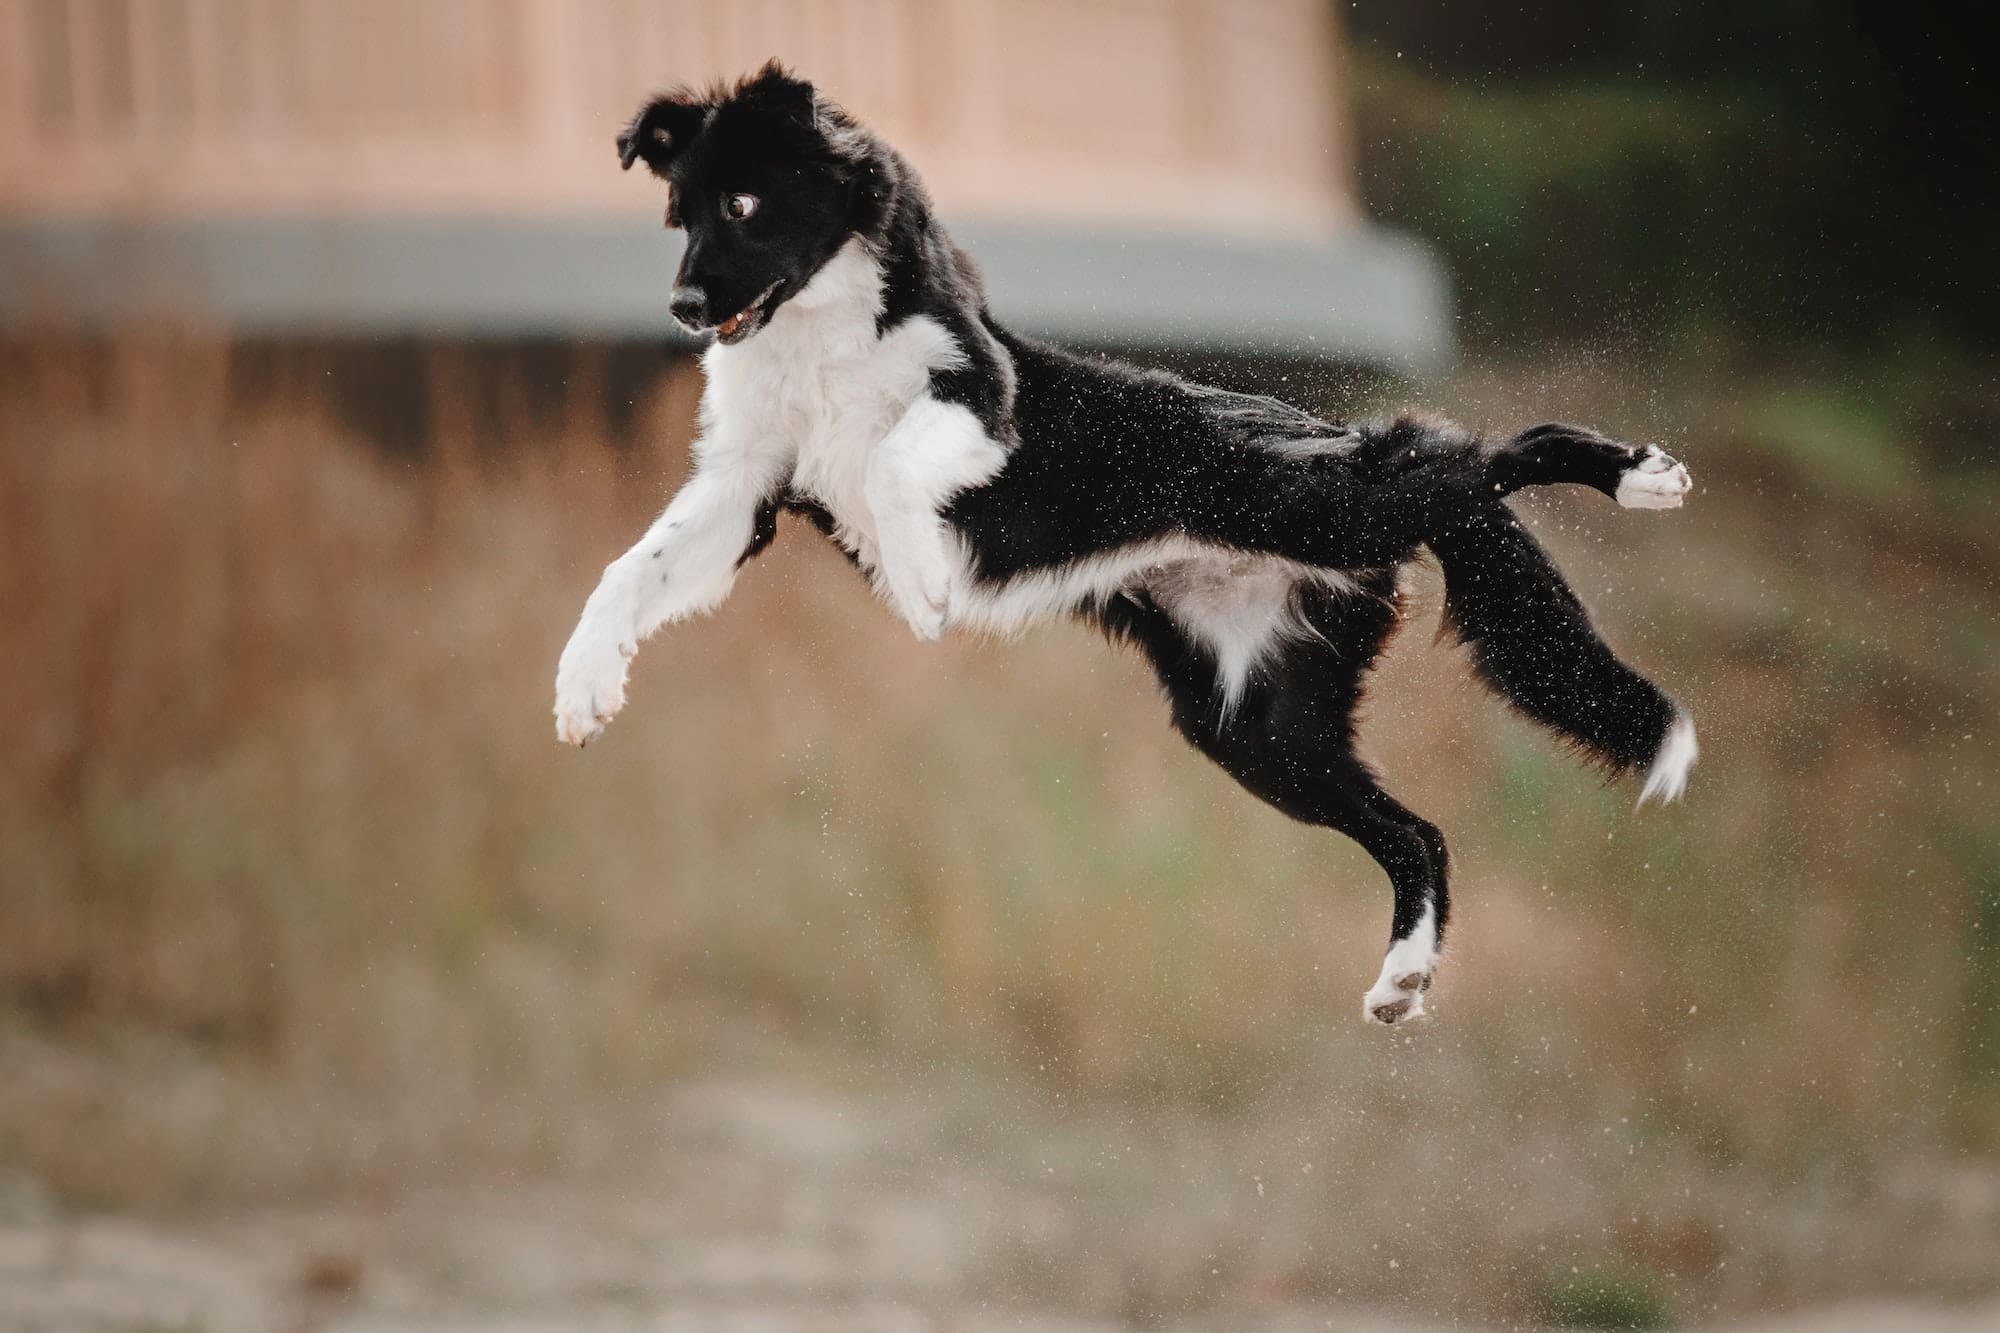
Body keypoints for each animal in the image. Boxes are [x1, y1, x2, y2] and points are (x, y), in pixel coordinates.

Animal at [556, 62, 1696, 1020]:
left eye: (744, 206)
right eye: (679, 213)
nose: (683, 305)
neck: (819, 335)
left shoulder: (980, 400)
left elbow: (890, 466)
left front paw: (924, 583)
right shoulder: (743, 486)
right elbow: (630, 570)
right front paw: (582, 688)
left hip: (1327, 508)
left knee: (1479, 451)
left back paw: (1641, 477)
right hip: (1259, 726)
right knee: (1420, 833)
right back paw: (1403, 976)